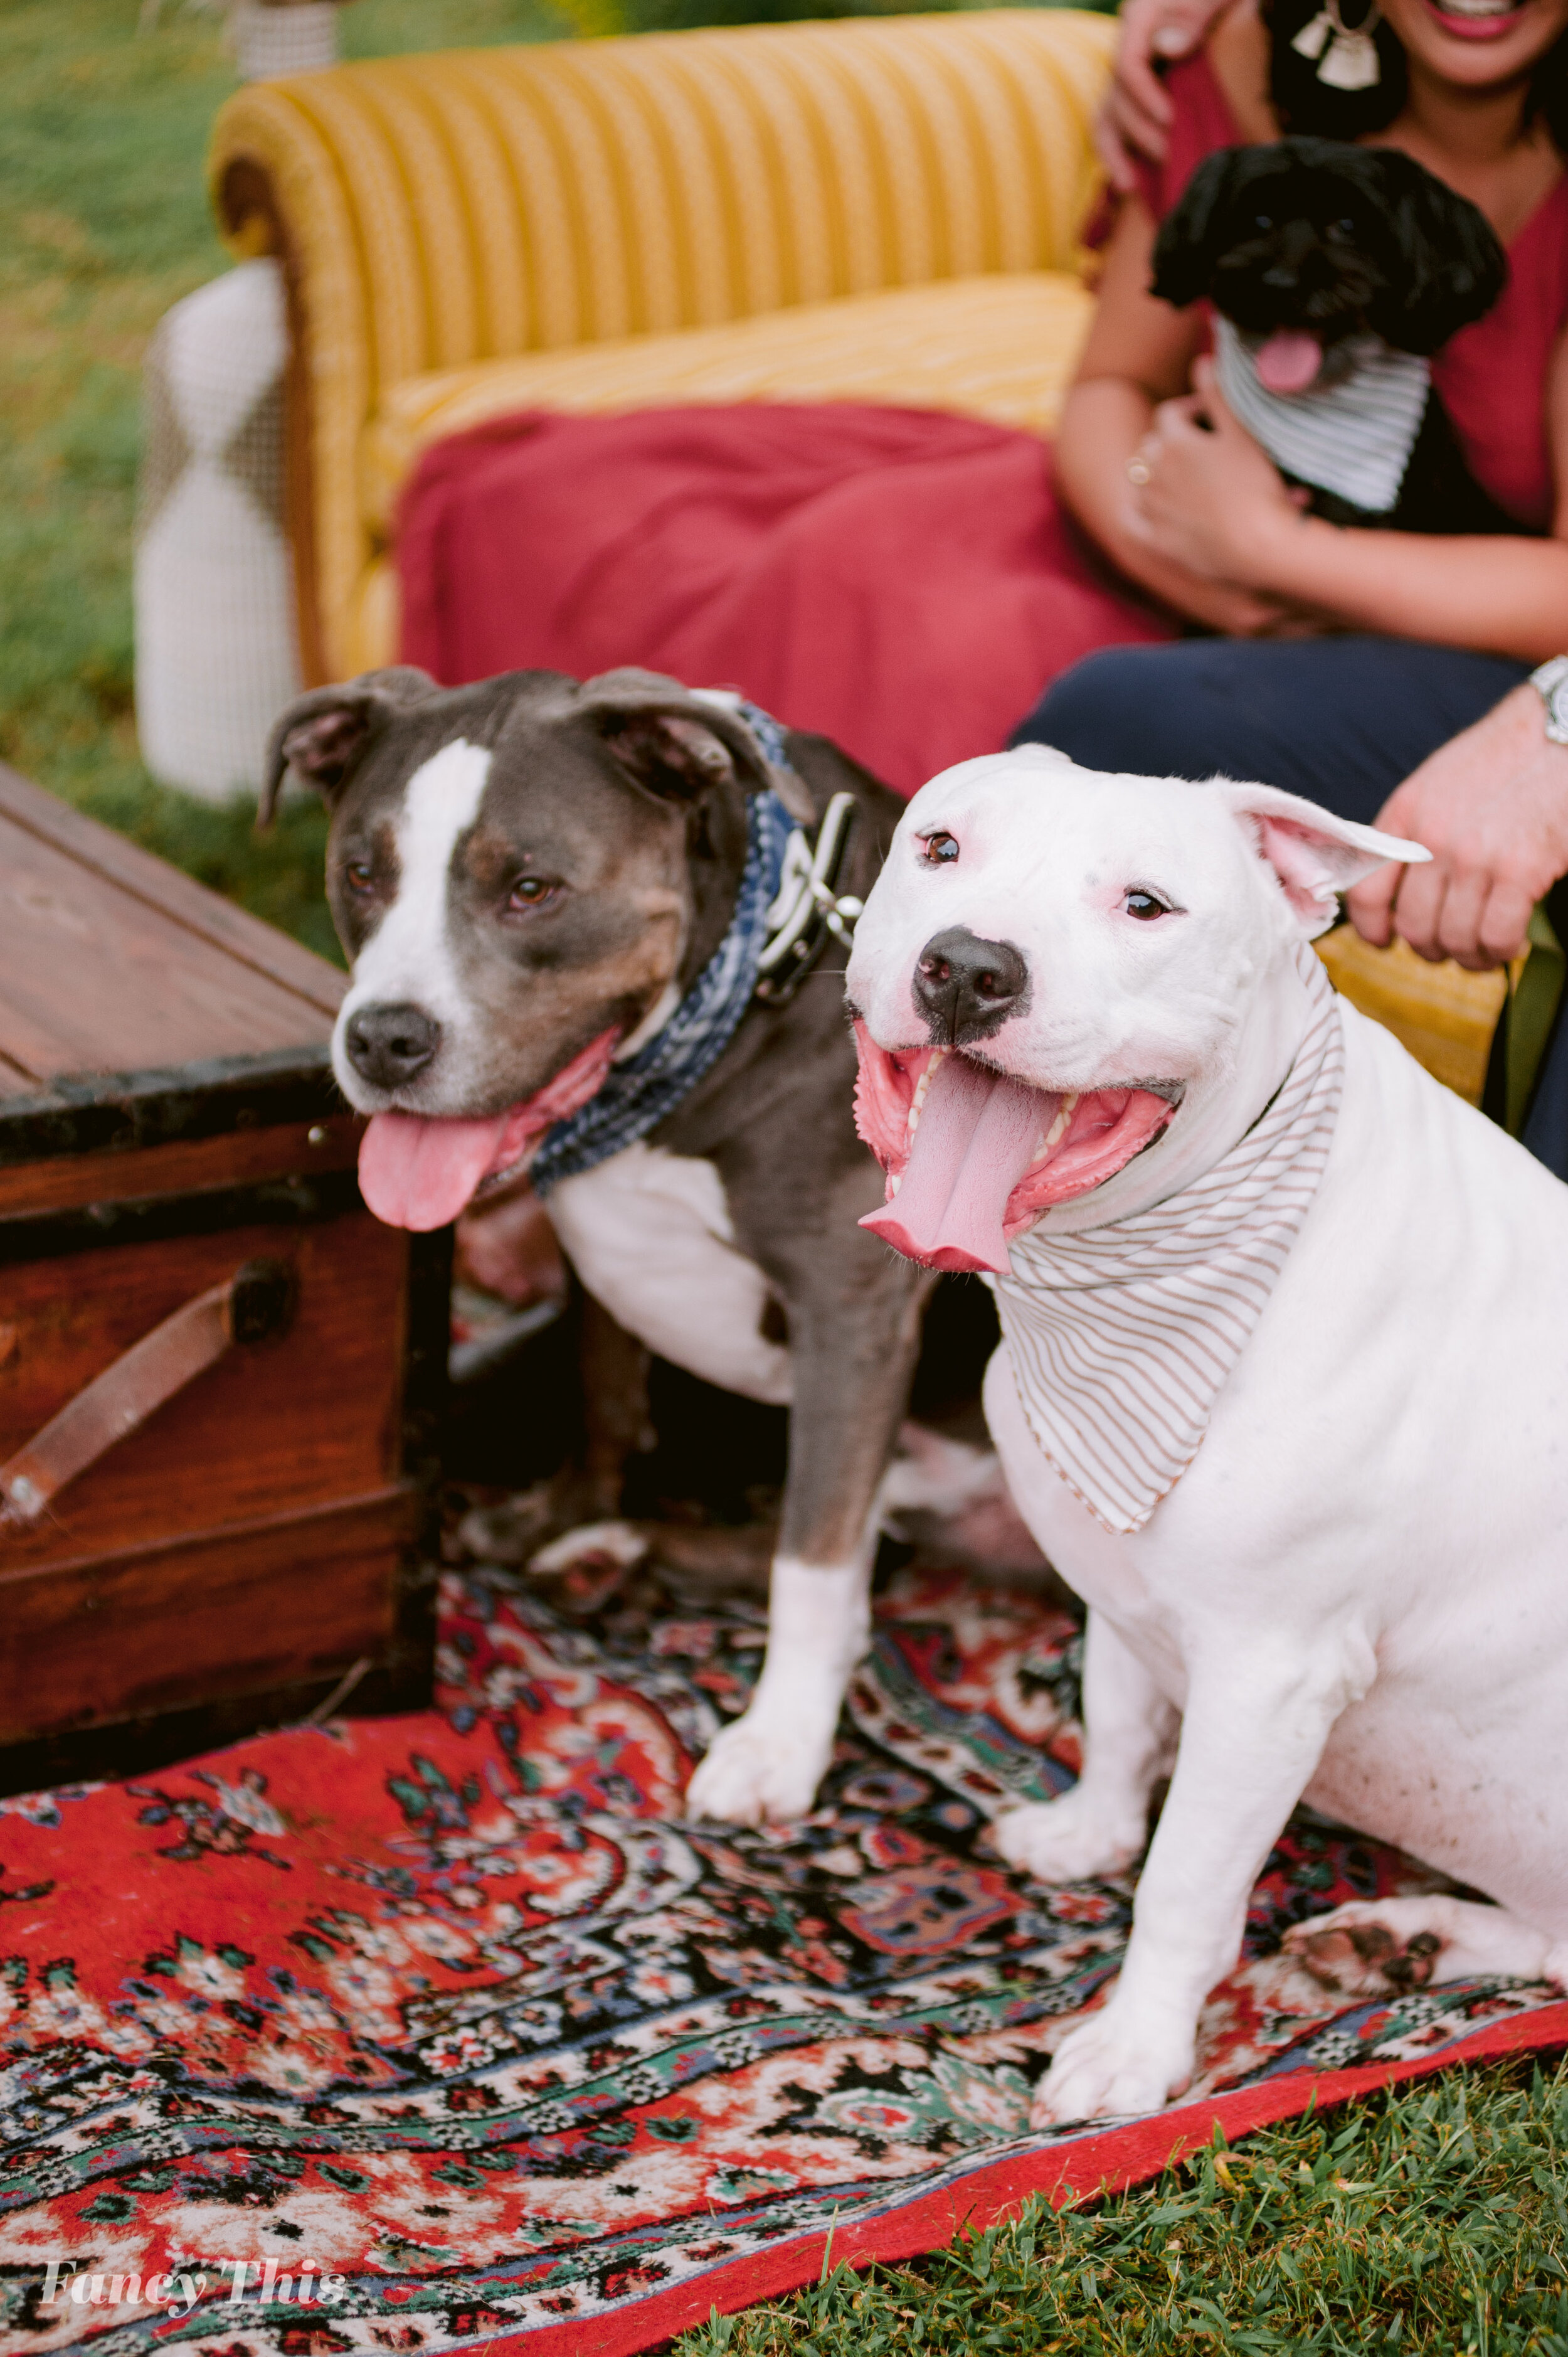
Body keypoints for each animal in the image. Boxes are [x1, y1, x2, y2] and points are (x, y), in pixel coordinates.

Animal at [264, 664, 929, 1819]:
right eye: (362, 872)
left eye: (532, 889)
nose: (384, 1038)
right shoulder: (604, 1259)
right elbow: (606, 1401)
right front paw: (561, 1512)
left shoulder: (853, 1322)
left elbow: (813, 1557)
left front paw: (781, 1743)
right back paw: (603, 1548)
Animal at [839, 754, 1568, 2140]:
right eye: (940, 846)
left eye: (1146, 905)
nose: (967, 968)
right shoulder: (1123, 1577)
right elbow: (1119, 1719)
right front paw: (1088, 1832)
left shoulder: (1268, 1676)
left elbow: (1185, 1878)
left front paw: (1132, 2052)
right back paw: (1402, 1944)